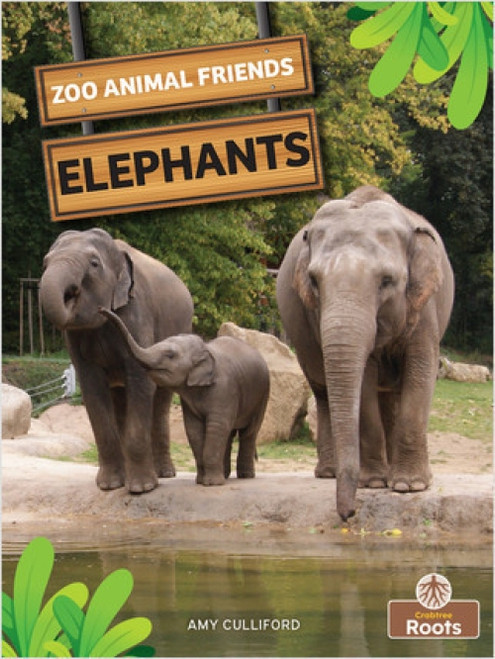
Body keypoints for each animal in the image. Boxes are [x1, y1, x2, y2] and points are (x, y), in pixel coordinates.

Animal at [40, 228, 194, 494]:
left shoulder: (136, 313)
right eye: (45, 263)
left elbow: (141, 382)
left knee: (161, 400)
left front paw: (142, 488)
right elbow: (92, 389)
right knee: (121, 398)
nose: (103, 310)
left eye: (94, 264)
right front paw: (110, 486)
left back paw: (164, 474)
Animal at [98, 307, 270, 486]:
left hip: (263, 395)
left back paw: (245, 475)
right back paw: (226, 474)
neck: (205, 349)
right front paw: (201, 481)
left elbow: (216, 427)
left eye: (170, 355)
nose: (102, 310)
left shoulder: (225, 390)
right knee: (230, 435)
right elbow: (193, 429)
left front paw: (211, 484)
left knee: (249, 433)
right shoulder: (189, 400)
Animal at [276, 186, 454, 521]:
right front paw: (373, 483)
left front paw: (409, 487)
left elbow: (420, 371)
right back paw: (330, 473)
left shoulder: (424, 308)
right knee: (322, 392)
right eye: (314, 281)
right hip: (302, 336)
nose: (348, 514)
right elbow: (365, 381)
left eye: (387, 281)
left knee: (392, 395)